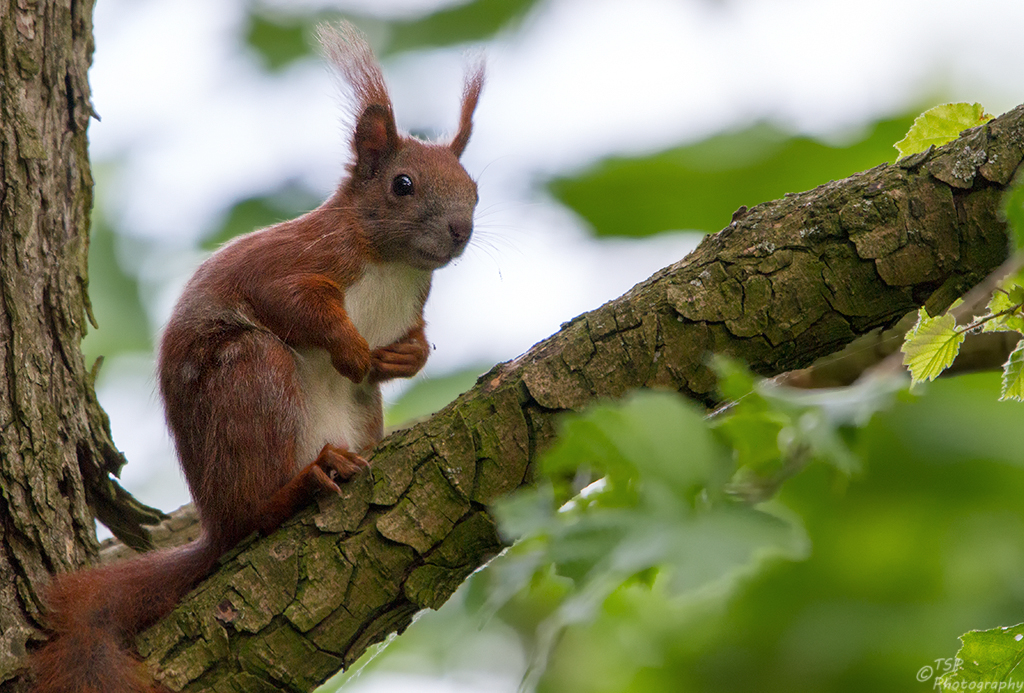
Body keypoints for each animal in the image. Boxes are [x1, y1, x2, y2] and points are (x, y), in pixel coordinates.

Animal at [29, 21, 481, 691]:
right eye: (403, 185)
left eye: (475, 189)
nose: (460, 232)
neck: (392, 264)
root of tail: (215, 522)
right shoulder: (294, 262)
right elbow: (293, 303)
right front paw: (351, 347)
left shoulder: (411, 305)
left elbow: (415, 341)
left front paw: (406, 356)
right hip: (251, 375)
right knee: (256, 513)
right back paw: (300, 486)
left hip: (358, 410)